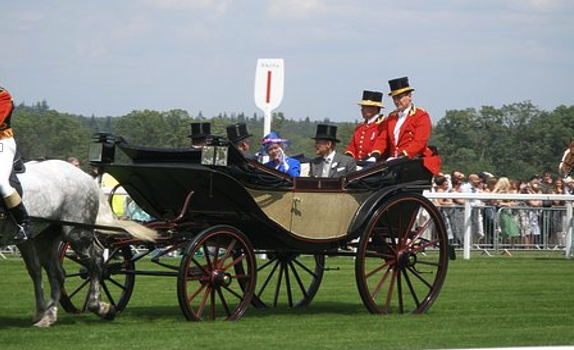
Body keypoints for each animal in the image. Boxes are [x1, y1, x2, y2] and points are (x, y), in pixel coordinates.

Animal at [0, 160, 156, 326]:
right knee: (55, 273)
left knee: (95, 264)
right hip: (44, 237)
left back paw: (99, 308)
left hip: (77, 233)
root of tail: (87, 177)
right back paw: (47, 316)